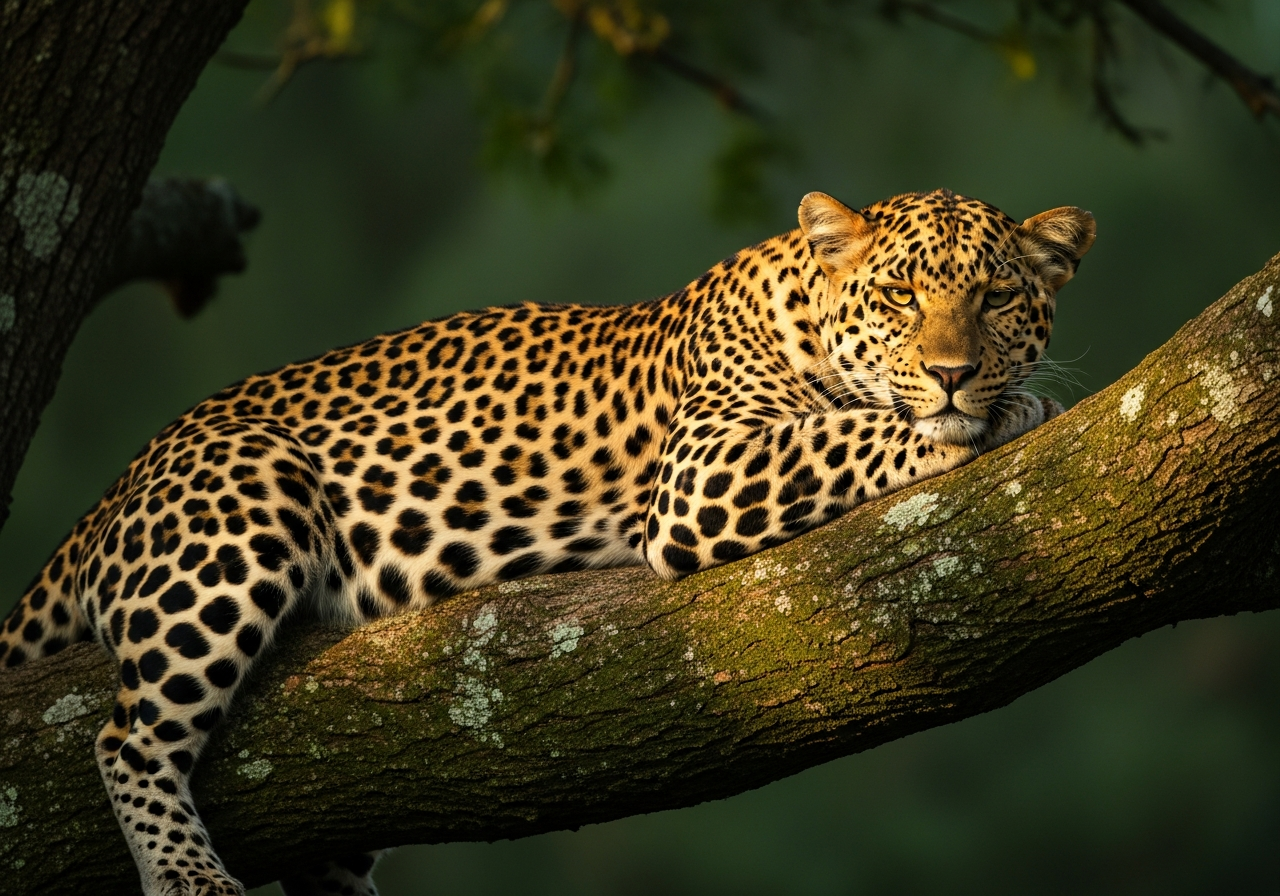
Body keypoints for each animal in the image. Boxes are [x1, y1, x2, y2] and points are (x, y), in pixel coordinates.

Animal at [0, 188, 1094, 895]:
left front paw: (993, 399)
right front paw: (1004, 410)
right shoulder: (703, 471)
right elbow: (859, 430)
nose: (954, 372)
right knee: (125, 735)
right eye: (900, 295)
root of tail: (120, 482)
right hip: (242, 505)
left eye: (997, 298)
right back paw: (186, 870)